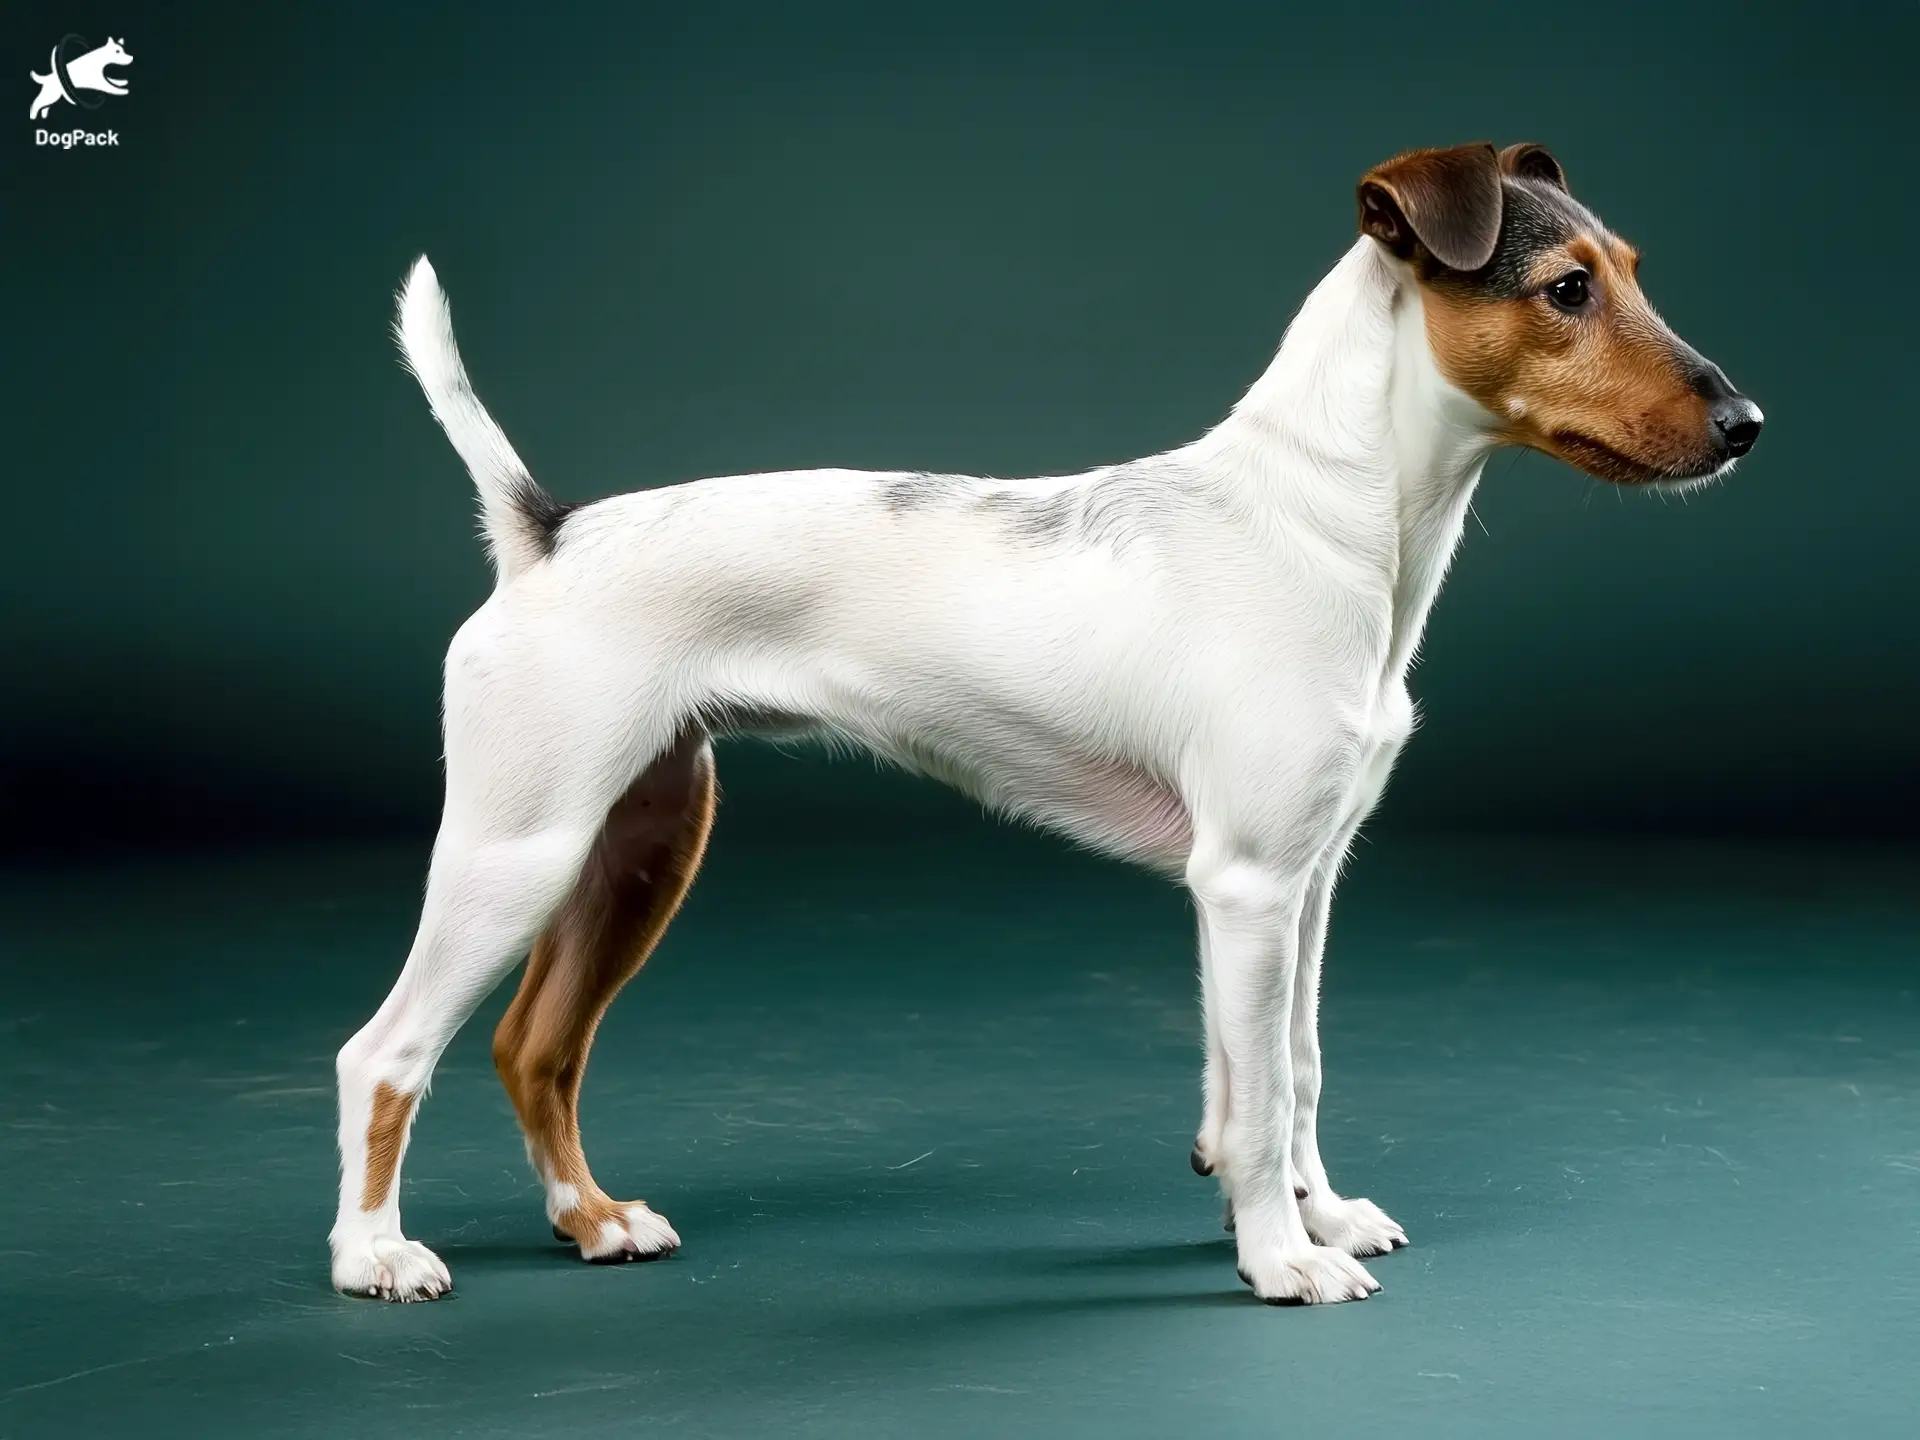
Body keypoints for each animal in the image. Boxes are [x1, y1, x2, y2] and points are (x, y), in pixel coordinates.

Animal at [326, 144, 1758, 1305]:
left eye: (1631, 273)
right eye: (1566, 289)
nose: (1748, 424)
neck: (1323, 527)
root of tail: (546, 535)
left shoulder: (1303, 884)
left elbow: (1286, 1070)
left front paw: (1319, 1213)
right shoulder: (1246, 886)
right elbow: (1259, 1097)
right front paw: (1280, 1261)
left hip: (639, 847)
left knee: (536, 1049)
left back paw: (593, 1222)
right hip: (516, 855)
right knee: (384, 1054)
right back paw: (375, 1256)